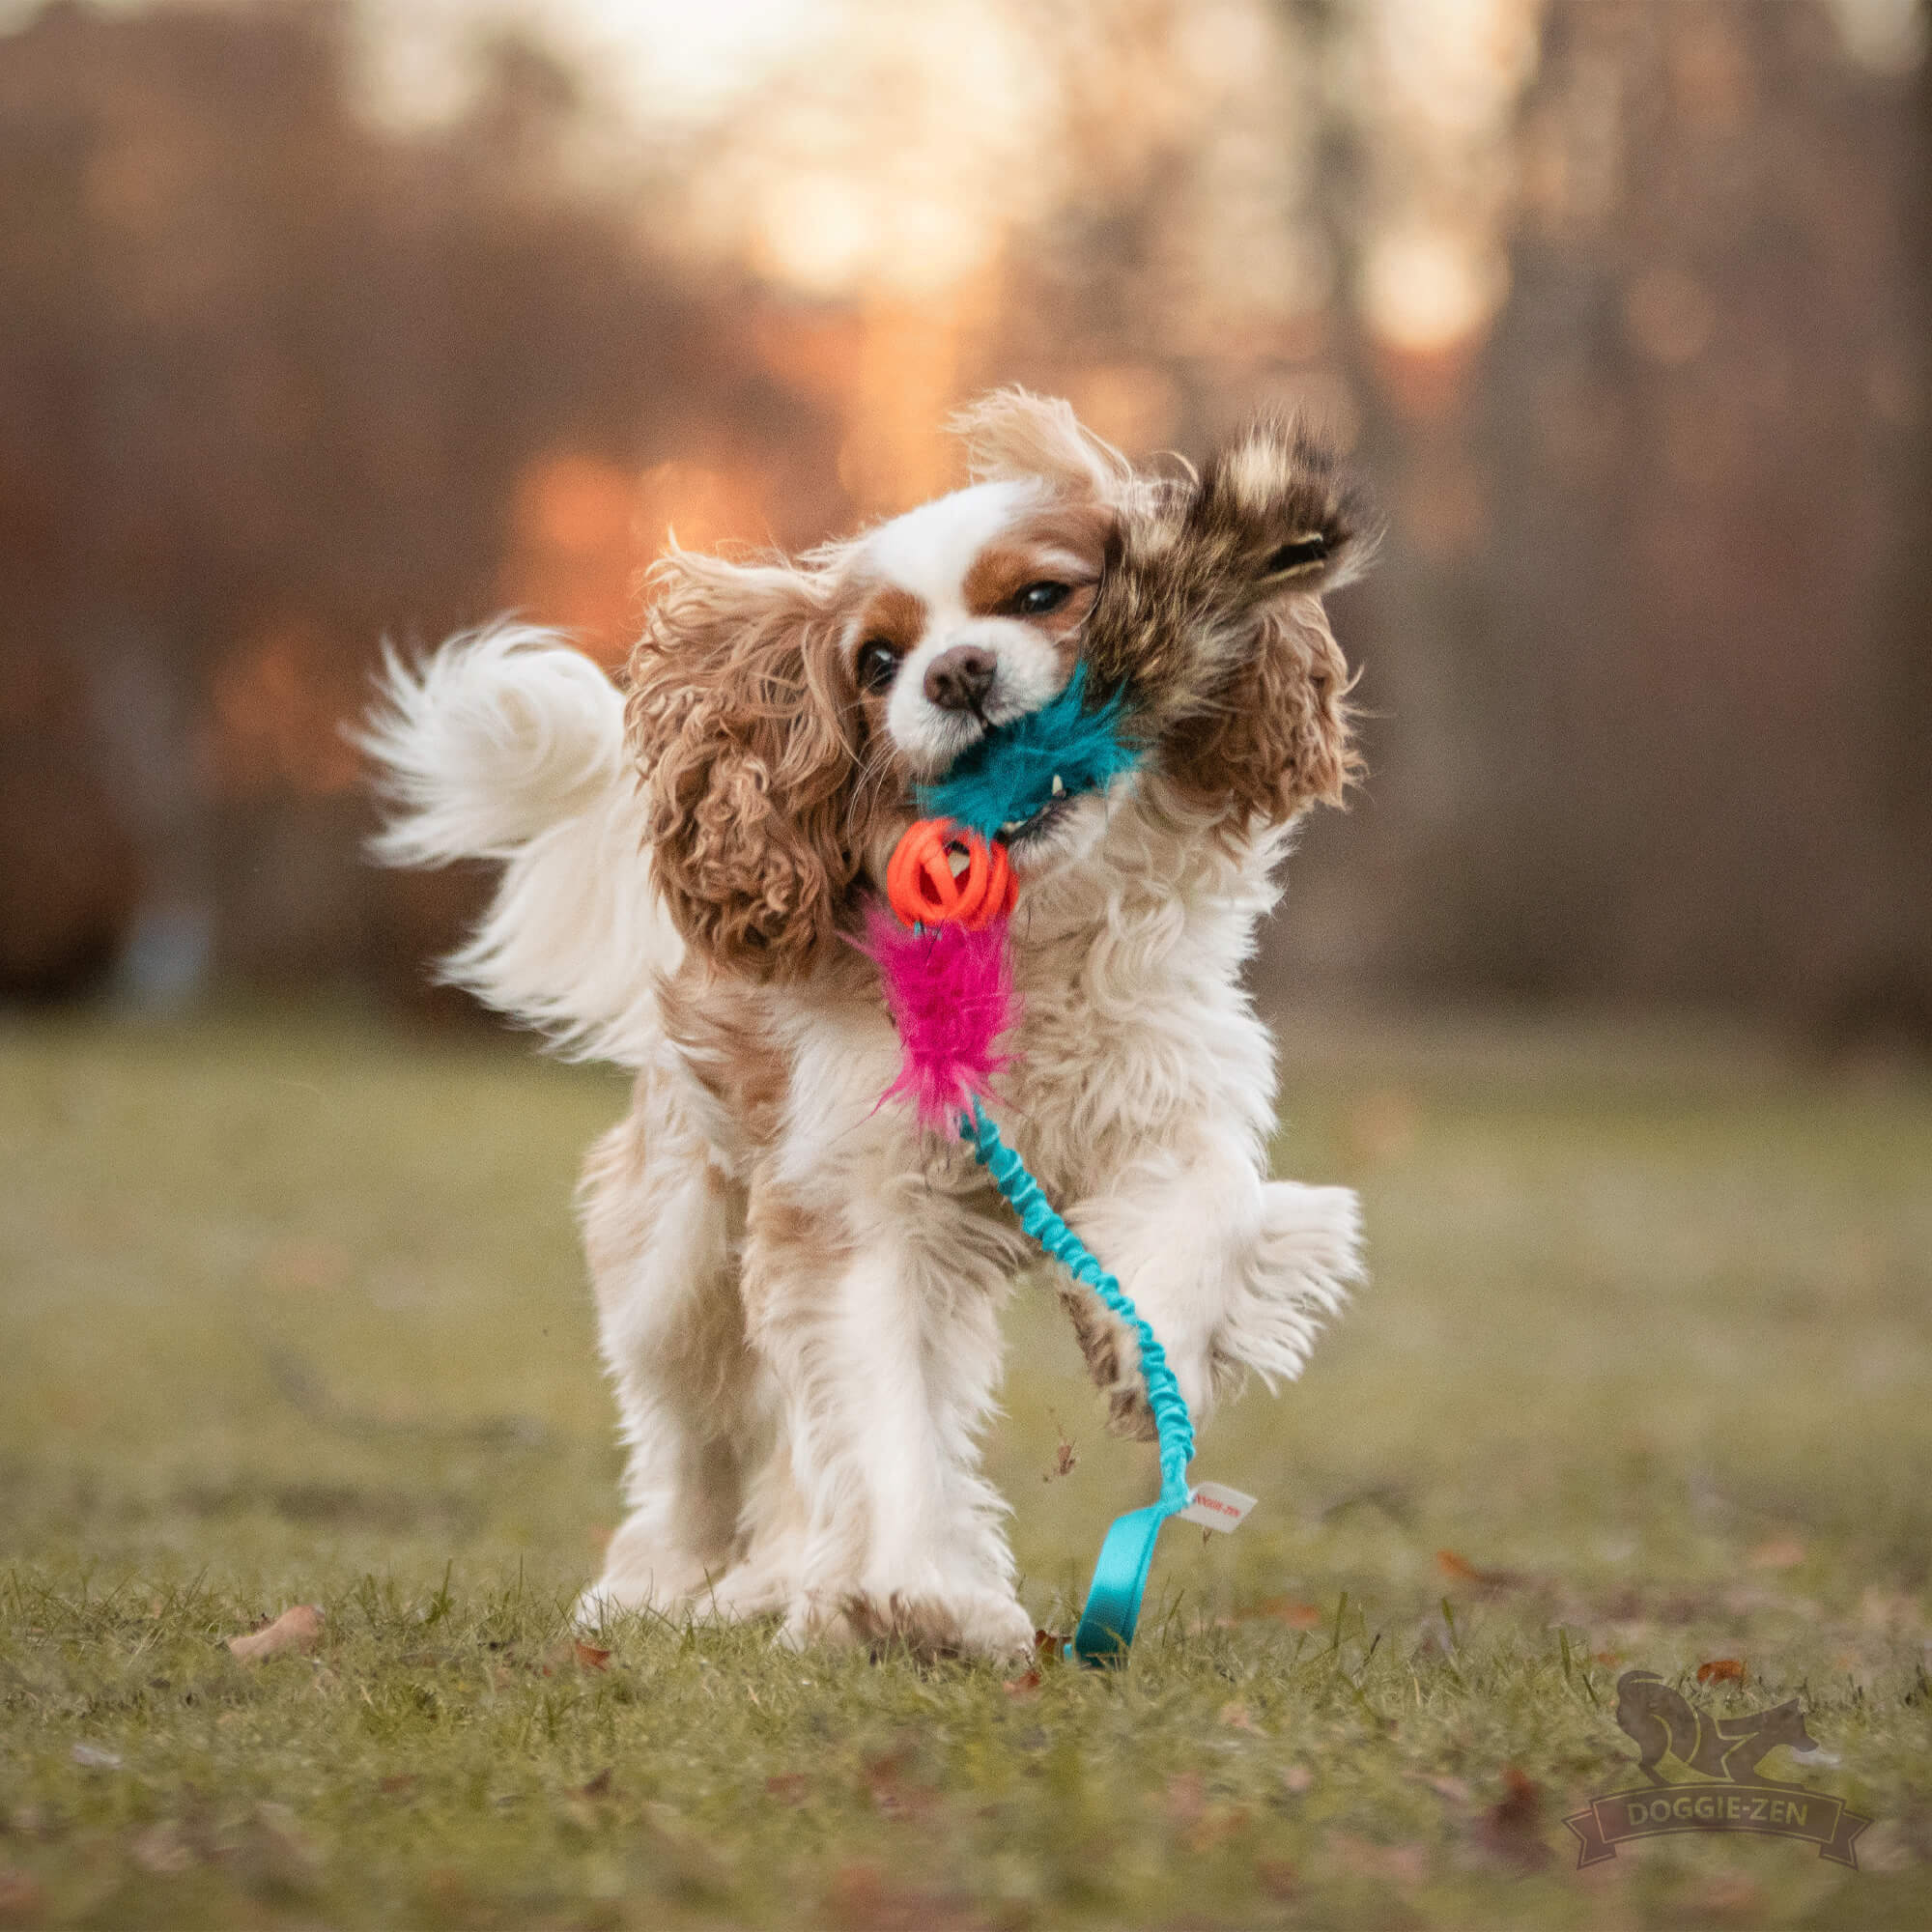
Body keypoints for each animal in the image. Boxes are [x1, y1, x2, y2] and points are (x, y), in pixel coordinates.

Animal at [365, 392, 1376, 1662]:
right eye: (878, 660)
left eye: (1040, 596)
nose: (956, 672)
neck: (1026, 935)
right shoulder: (860, 1204)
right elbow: (885, 1404)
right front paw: (918, 1599)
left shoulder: (1172, 1094)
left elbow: (1210, 1214)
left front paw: (1143, 1349)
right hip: (678, 1268)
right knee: (694, 1445)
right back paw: (670, 1585)